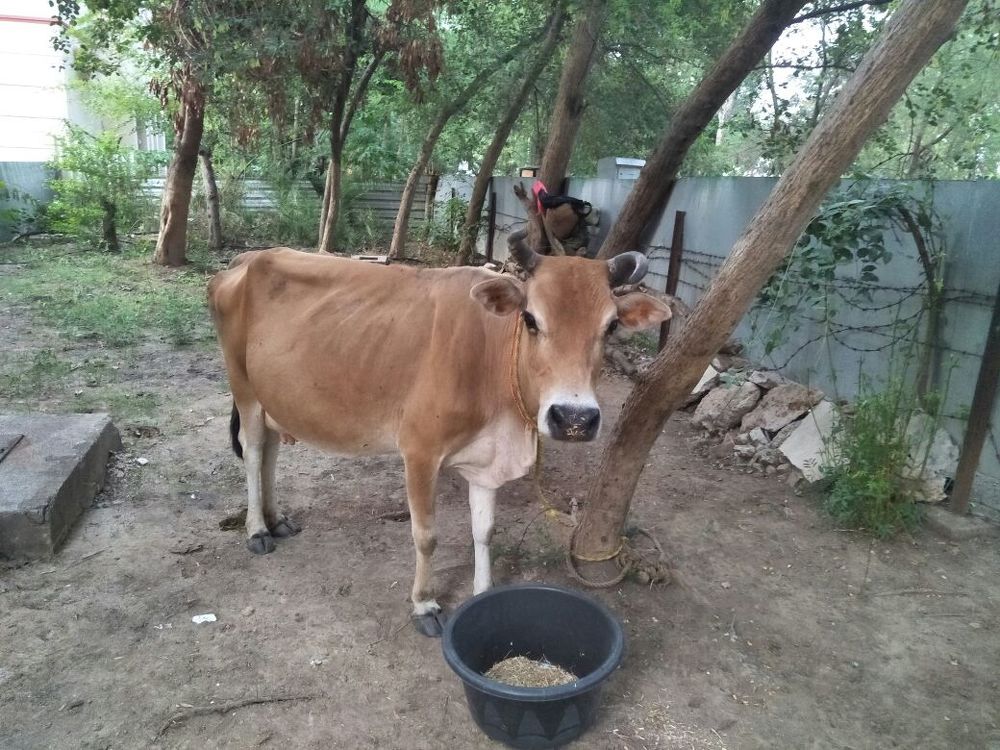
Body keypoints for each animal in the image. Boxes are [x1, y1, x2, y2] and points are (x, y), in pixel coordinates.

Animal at [207, 232, 670, 635]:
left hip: (271, 398)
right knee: (252, 452)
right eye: (530, 318)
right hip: (243, 388)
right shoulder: (420, 451)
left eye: (611, 327)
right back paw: (257, 530)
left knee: (269, 452)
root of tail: (245, 259)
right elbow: (427, 536)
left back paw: (276, 519)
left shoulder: (486, 461)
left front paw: (483, 592)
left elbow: (484, 531)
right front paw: (425, 604)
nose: (573, 418)